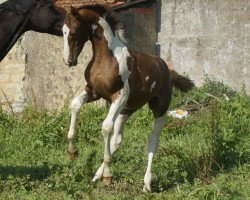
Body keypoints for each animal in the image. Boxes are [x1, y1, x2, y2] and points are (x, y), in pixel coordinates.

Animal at [60, 4, 193, 192]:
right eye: (63, 32)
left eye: (74, 32)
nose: (69, 61)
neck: (107, 58)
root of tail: (166, 69)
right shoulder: (93, 92)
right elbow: (75, 104)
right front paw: (72, 151)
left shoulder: (119, 96)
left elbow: (106, 127)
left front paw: (108, 174)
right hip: (126, 110)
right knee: (117, 140)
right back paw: (96, 177)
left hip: (159, 108)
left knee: (153, 141)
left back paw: (146, 184)